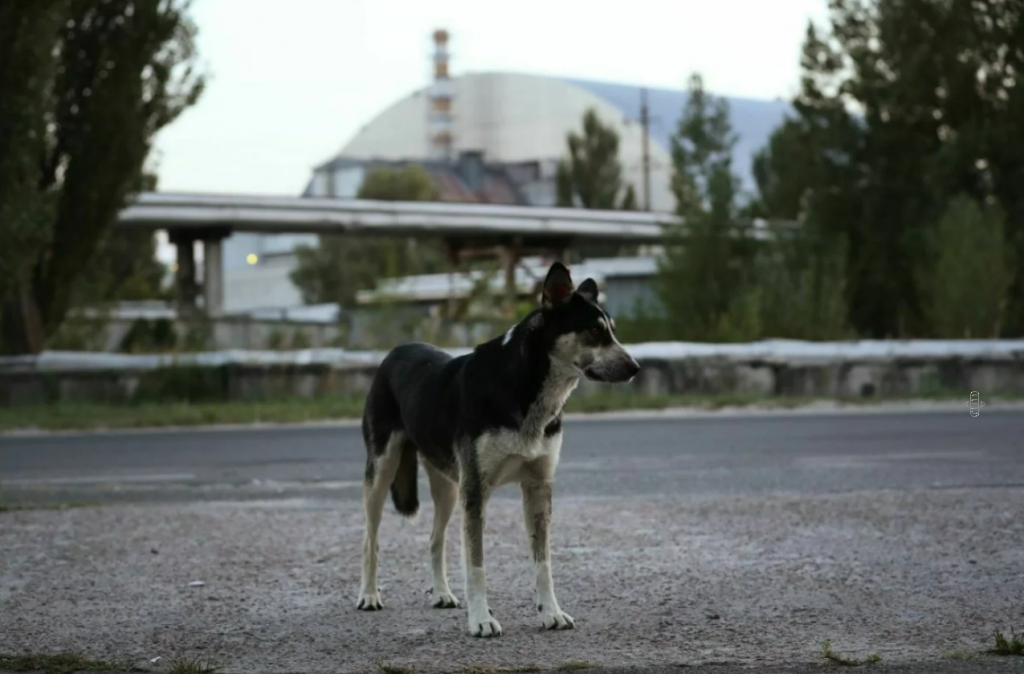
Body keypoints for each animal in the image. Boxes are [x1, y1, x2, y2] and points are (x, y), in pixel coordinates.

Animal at [356, 261, 634, 635]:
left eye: (613, 331)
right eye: (593, 330)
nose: (635, 368)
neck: (525, 388)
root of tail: (394, 351)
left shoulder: (537, 487)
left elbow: (543, 563)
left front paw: (550, 613)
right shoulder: (476, 491)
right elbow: (476, 566)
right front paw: (481, 620)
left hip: (448, 486)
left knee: (435, 539)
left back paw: (441, 593)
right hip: (382, 472)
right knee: (371, 540)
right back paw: (369, 595)